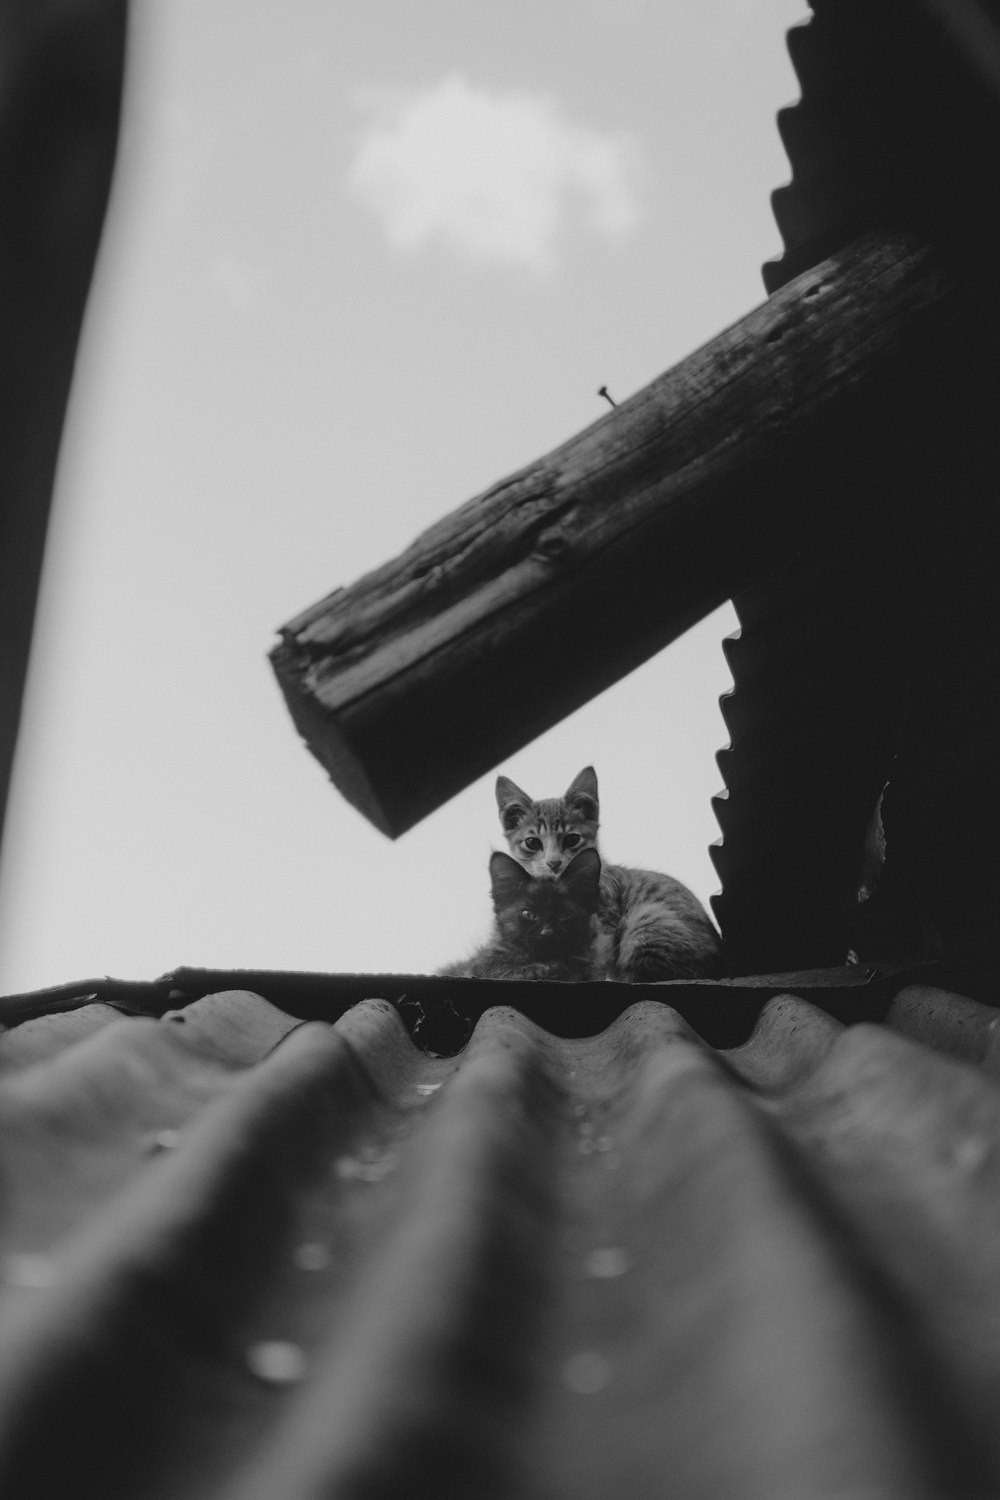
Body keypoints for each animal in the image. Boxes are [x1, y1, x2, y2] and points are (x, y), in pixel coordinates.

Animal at [440, 846, 602, 984]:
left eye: (565, 914)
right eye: (528, 914)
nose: (547, 932)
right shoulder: (477, 967)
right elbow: (500, 969)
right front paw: (535, 970)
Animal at [497, 768, 719, 978]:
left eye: (572, 839)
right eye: (532, 843)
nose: (554, 863)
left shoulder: (605, 925)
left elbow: (596, 959)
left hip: (649, 918)